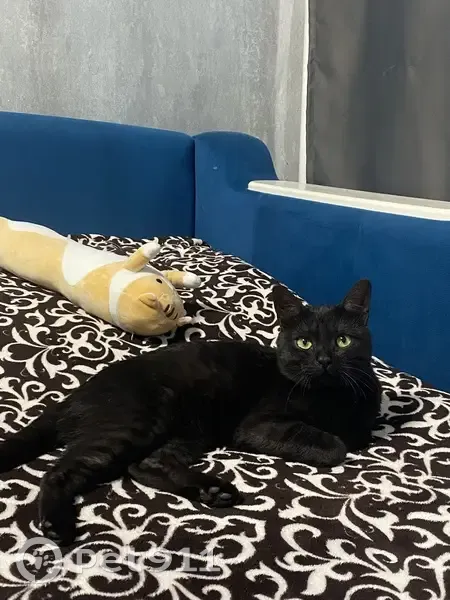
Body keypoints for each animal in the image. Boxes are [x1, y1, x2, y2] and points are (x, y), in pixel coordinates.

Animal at [0, 279, 381, 546]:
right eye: (304, 342)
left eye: (343, 340)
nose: (324, 359)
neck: (332, 396)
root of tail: (77, 394)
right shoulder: (258, 425)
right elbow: (336, 446)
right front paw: (334, 441)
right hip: (139, 420)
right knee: (60, 471)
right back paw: (56, 525)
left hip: (190, 430)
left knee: (144, 464)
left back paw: (212, 490)